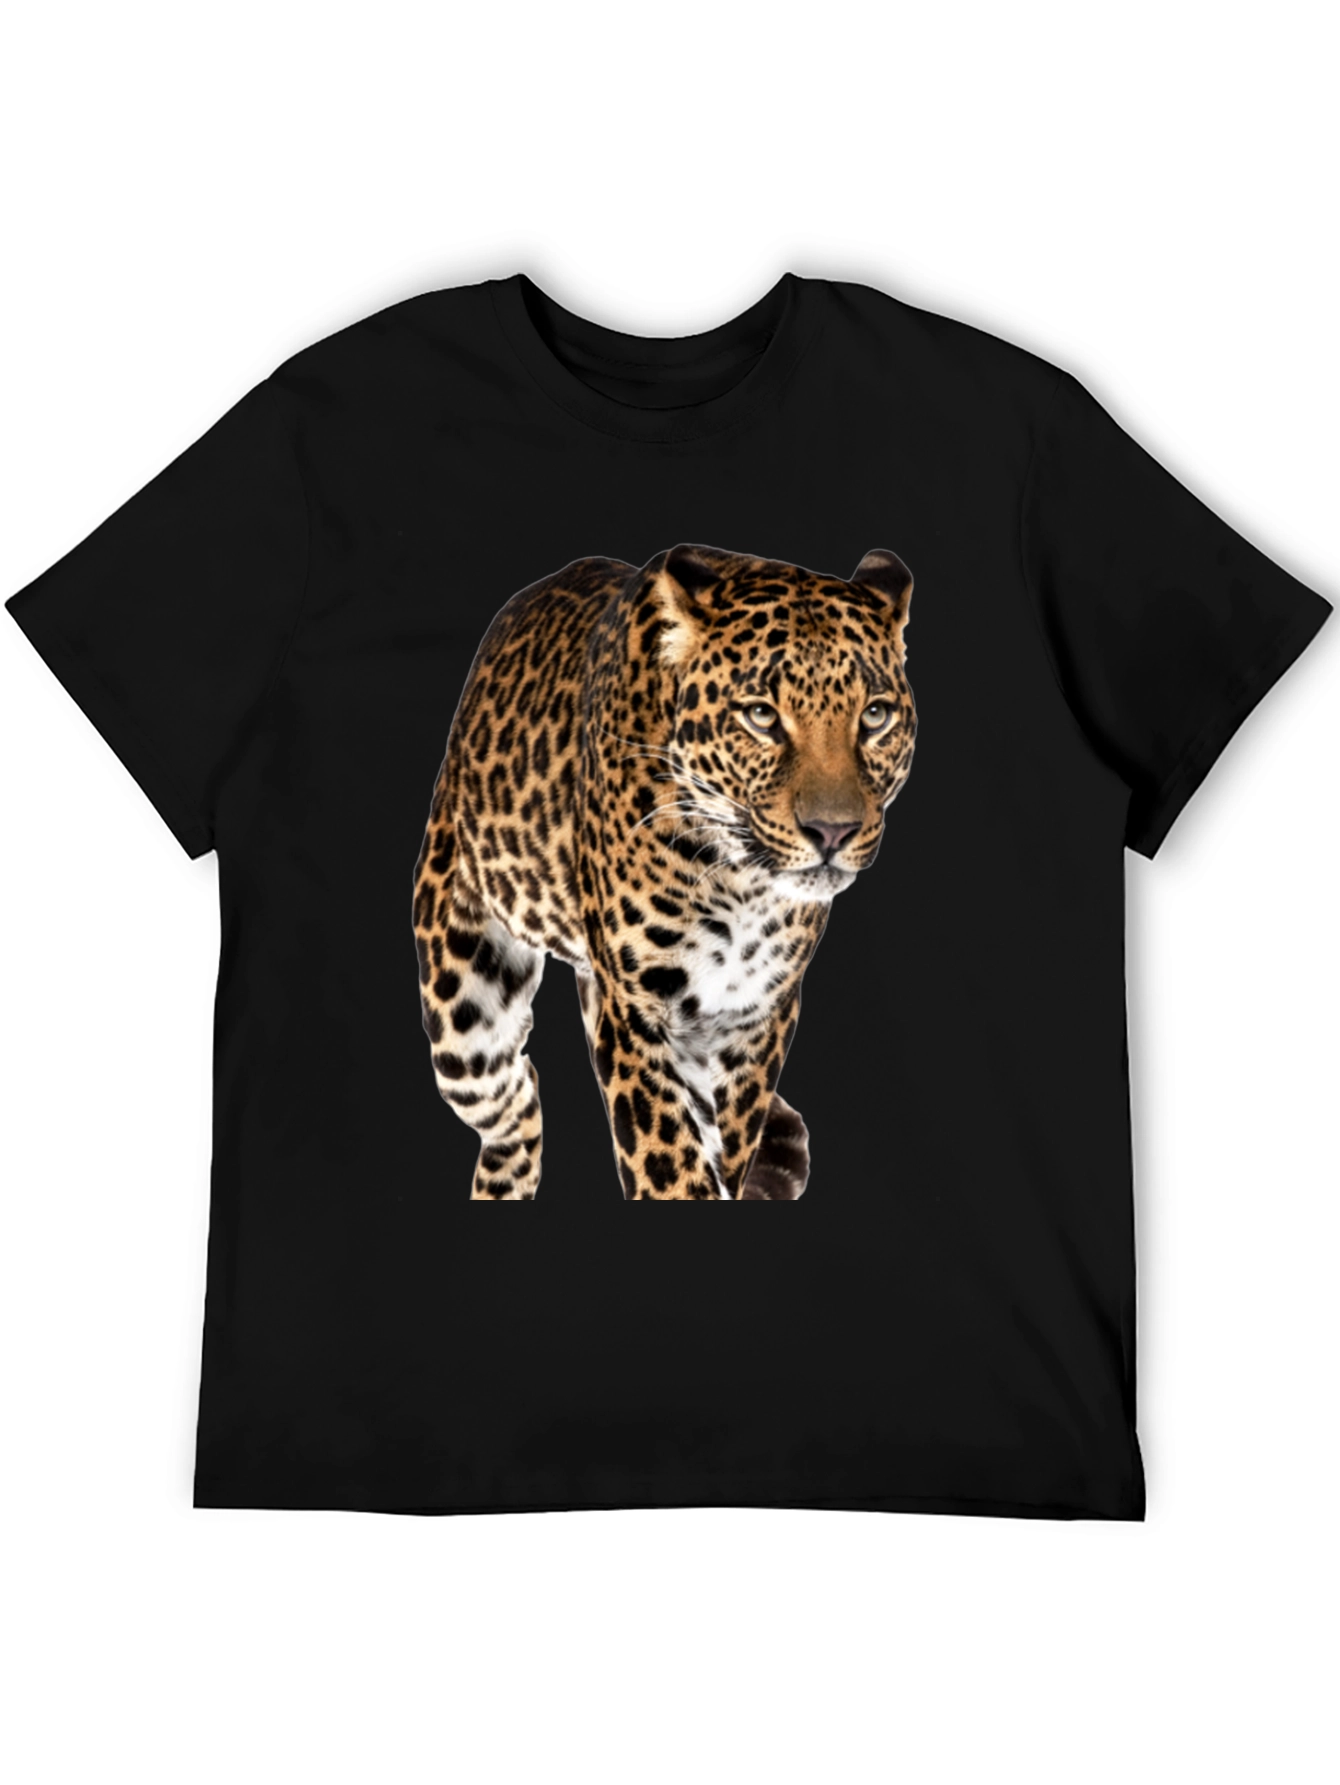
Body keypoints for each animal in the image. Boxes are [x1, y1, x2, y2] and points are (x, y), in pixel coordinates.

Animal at [412, 543, 916, 1201]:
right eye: (761, 716)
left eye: (875, 716)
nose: (832, 833)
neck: (741, 883)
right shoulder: (636, 1012)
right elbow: (670, 1163)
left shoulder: (755, 1017)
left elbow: (726, 1144)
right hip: (464, 1014)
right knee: (514, 1102)